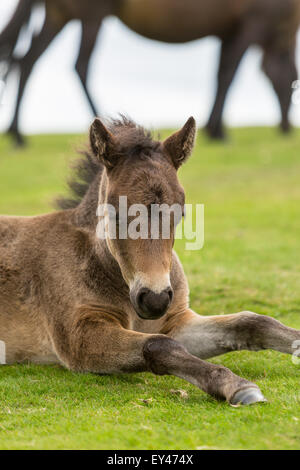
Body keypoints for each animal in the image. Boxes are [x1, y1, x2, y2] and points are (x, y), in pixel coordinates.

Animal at [0, 116, 300, 404]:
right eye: (114, 212)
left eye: (181, 213)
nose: (155, 299)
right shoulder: (78, 337)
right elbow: (158, 345)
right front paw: (237, 386)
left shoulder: (175, 321)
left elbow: (251, 322)